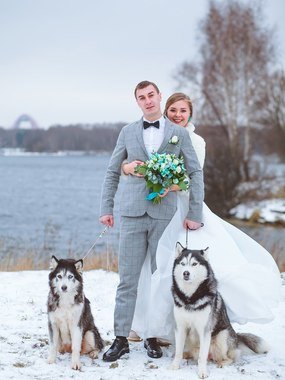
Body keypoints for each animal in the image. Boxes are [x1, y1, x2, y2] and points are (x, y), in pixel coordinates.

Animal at [170, 245, 268, 378]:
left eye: (194, 264)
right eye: (183, 263)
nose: (186, 273)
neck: (190, 298)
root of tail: (236, 337)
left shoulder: (205, 330)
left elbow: (202, 357)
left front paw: (202, 372)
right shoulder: (180, 327)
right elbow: (178, 351)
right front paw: (175, 365)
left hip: (223, 336)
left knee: (228, 357)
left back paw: (222, 363)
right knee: (192, 353)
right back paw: (186, 355)